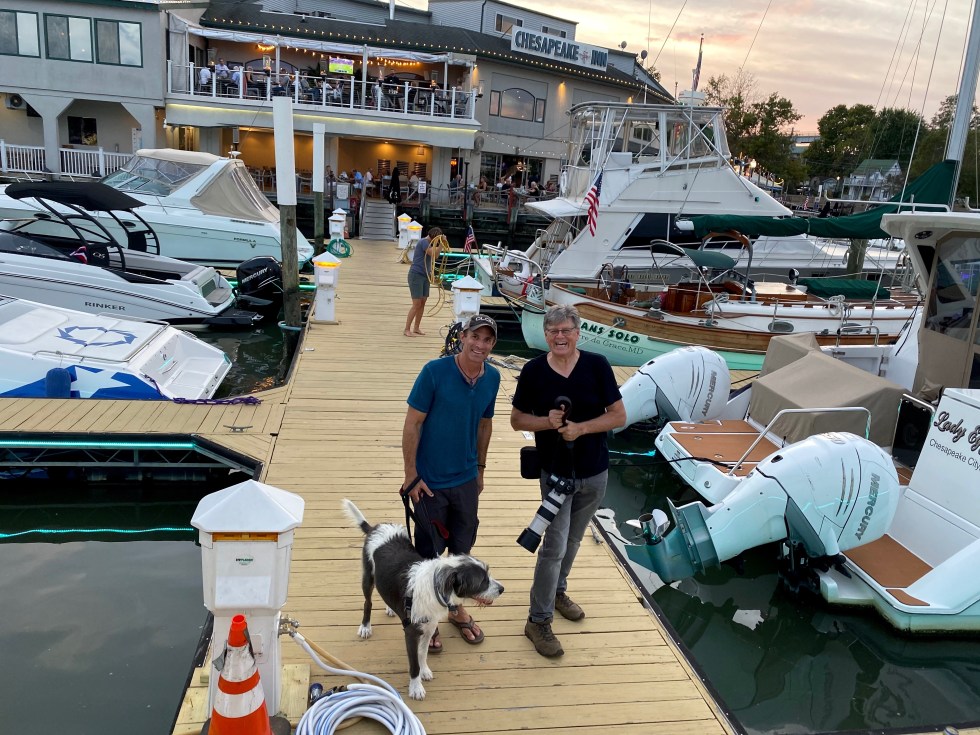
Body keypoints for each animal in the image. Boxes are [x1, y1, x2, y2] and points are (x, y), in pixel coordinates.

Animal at [341, 498, 504, 700]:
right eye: (482, 581)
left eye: (488, 574)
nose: (502, 589)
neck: (435, 589)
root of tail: (376, 527)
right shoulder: (411, 633)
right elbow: (414, 663)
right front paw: (416, 687)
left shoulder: (429, 627)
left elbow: (423, 653)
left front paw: (424, 671)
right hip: (368, 577)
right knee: (367, 602)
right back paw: (365, 626)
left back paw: (390, 608)